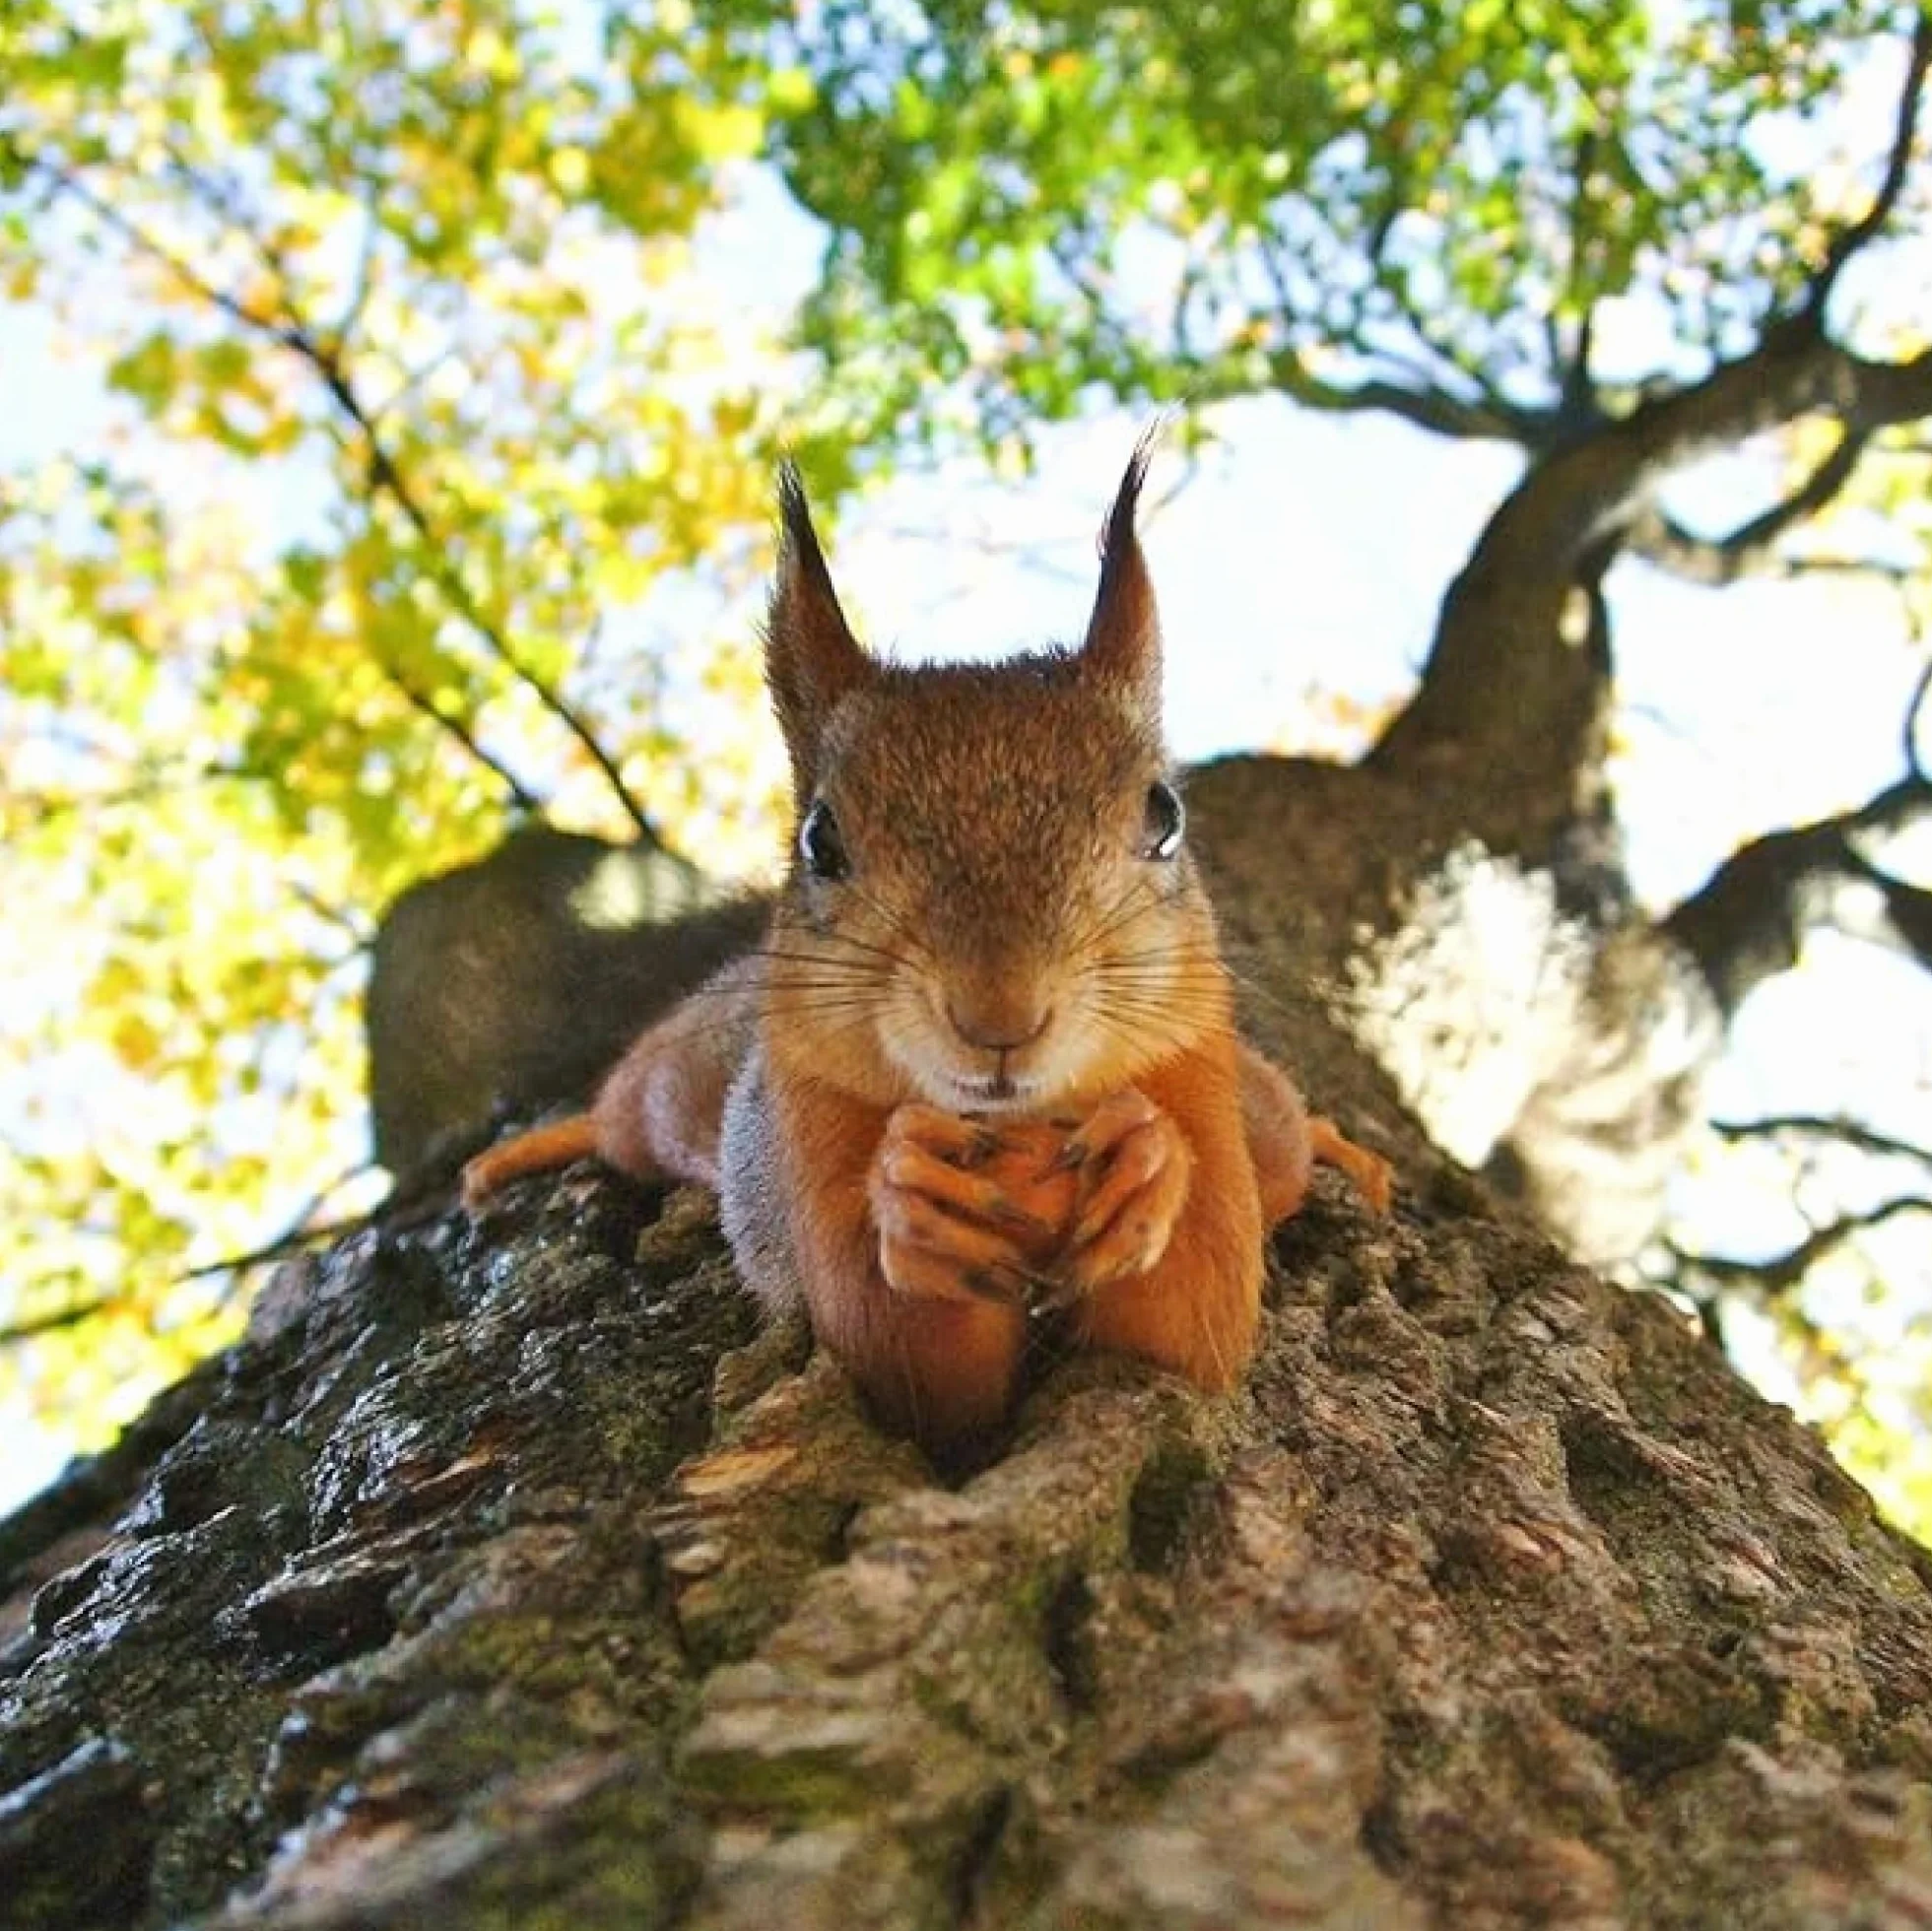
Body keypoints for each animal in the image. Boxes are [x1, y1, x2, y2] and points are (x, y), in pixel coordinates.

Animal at [463, 446, 1392, 1453]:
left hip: (1259, 1115)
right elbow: (904, 1360)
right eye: (820, 841)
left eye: (1165, 816)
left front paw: (1148, 1162)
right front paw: (912, 1203)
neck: (1019, 1131)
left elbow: (1193, 1323)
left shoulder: (1197, 1083)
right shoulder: (807, 1132)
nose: (999, 1016)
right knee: (618, 1116)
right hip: (671, 1092)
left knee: (1286, 1137)